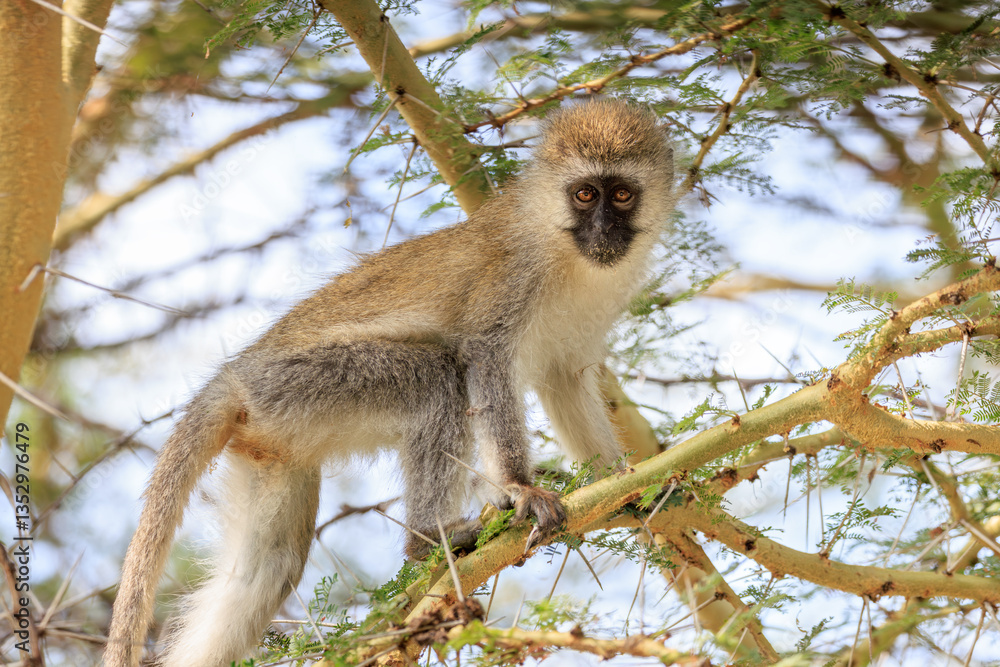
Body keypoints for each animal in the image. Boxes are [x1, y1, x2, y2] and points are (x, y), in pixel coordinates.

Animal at [104, 99, 676, 667]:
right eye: (585, 195)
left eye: (621, 195)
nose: (603, 232)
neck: (565, 251)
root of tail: (235, 377)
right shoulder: (514, 275)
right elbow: (485, 359)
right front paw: (521, 487)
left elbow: (565, 380)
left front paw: (624, 483)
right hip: (301, 385)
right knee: (440, 382)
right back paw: (428, 540)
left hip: (273, 444)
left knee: (263, 574)